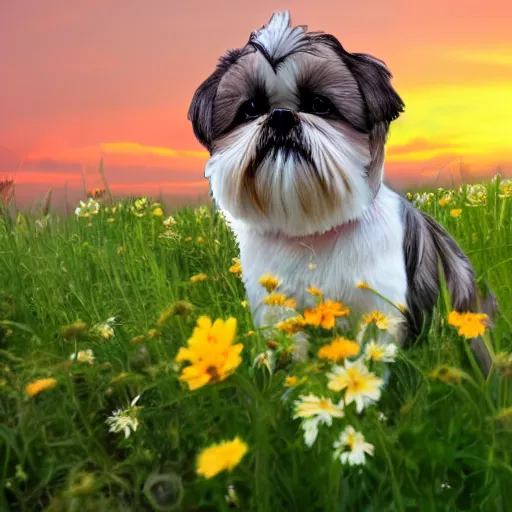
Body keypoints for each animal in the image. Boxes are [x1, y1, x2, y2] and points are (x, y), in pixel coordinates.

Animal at [188, 10, 496, 374]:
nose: (280, 116)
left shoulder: (378, 305)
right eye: (250, 109)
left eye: (321, 104)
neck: (311, 232)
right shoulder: (277, 306)